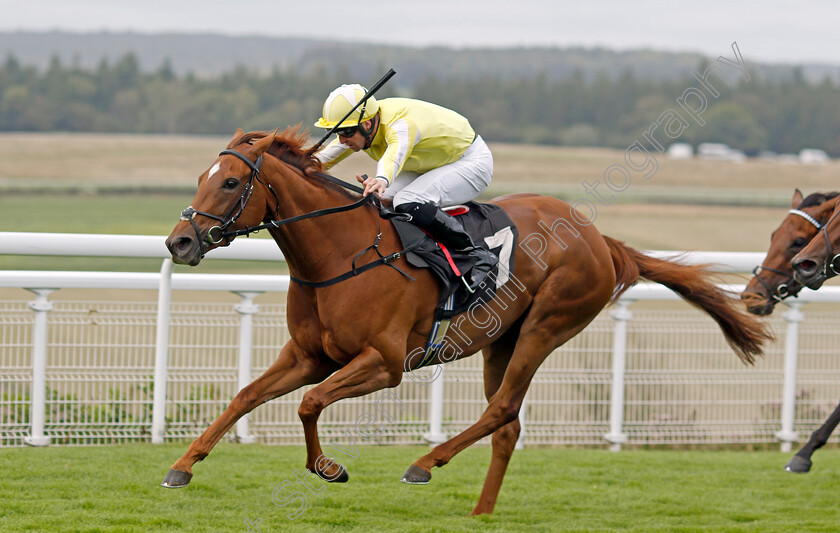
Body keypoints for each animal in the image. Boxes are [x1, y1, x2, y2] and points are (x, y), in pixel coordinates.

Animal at [161, 127, 772, 512]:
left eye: (231, 182)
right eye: (202, 176)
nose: (179, 242)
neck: (340, 255)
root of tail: (602, 239)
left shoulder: (384, 364)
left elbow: (310, 404)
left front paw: (329, 468)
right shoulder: (310, 355)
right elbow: (245, 396)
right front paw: (183, 466)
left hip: (547, 325)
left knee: (501, 410)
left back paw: (425, 463)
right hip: (501, 340)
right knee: (508, 423)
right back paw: (480, 511)